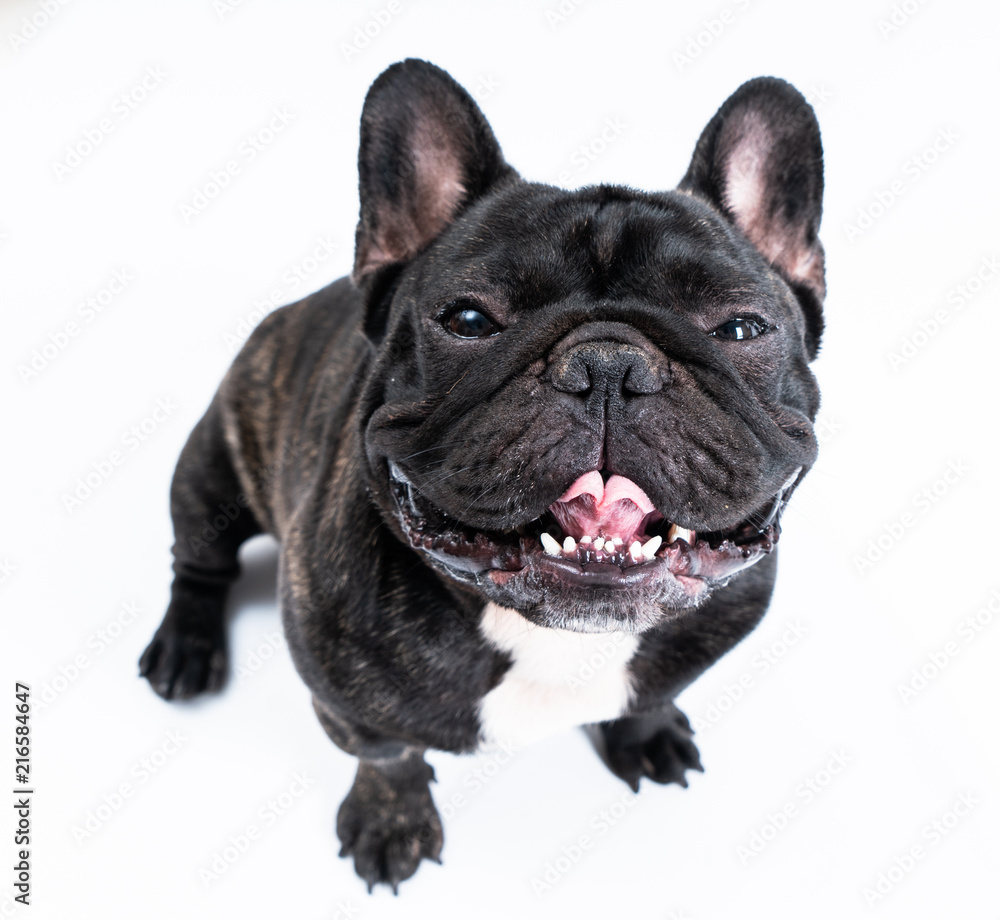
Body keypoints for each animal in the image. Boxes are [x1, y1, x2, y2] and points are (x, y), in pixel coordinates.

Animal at [141, 57, 828, 892]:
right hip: (210, 467)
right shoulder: (345, 703)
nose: (608, 364)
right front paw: (391, 823)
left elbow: (649, 696)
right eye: (468, 320)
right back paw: (184, 647)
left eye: (740, 328)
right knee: (197, 560)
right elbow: (388, 756)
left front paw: (647, 734)